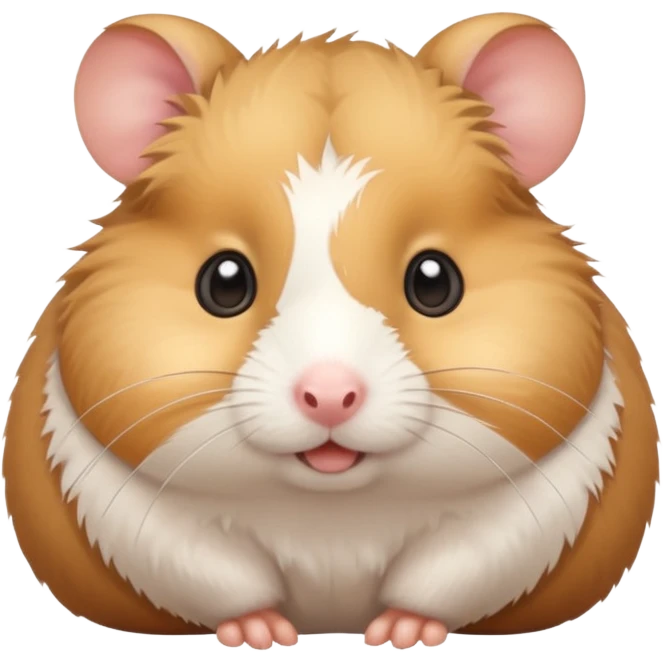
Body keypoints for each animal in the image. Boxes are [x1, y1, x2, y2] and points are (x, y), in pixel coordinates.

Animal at [2, 11, 660, 651]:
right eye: (223, 282)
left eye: (435, 281)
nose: (329, 396)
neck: (332, 515)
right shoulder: (149, 523)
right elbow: (223, 577)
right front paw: (261, 637)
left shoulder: (519, 518)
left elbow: (443, 575)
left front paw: (401, 636)